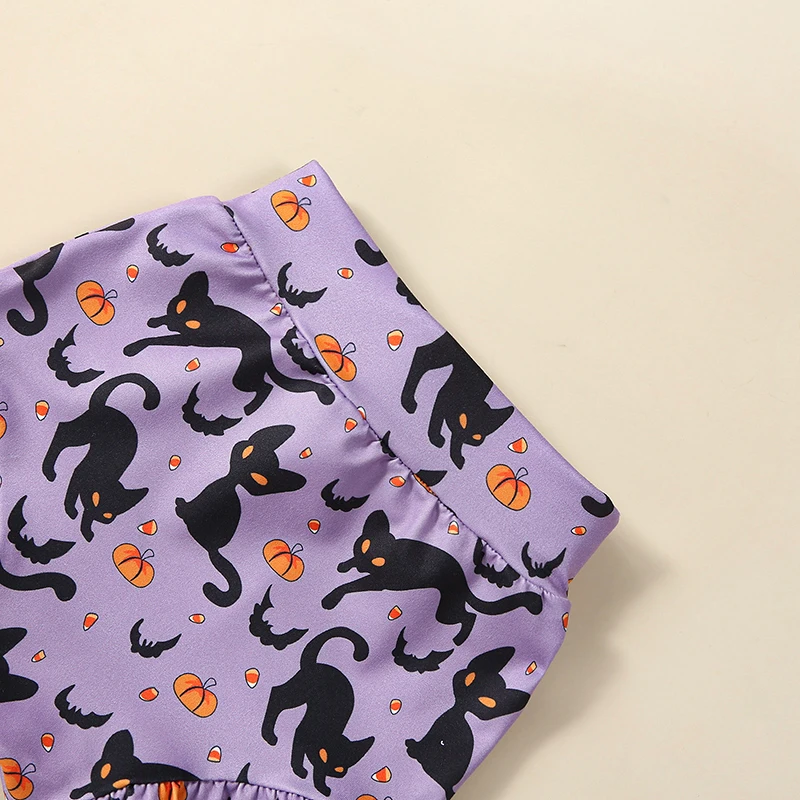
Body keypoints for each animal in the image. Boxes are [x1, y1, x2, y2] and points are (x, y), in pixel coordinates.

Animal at [42, 373, 160, 542]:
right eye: (96, 498)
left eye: (109, 514)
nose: (100, 515)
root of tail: (107, 407)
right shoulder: (79, 473)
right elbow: (73, 494)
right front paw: (71, 510)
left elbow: (87, 514)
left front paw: (86, 531)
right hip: (83, 432)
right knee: (63, 431)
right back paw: (49, 470)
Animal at [123, 271, 334, 429]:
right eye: (180, 306)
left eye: (193, 323)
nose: (176, 323)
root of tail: (269, 354)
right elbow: (163, 324)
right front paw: (156, 321)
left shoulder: (188, 339)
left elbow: (159, 339)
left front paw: (134, 347)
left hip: (242, 376)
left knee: (265, 387)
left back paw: (249, 408)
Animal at [261, 627, 375, 797]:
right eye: (323, 755)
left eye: (339, 769)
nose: (326, 767)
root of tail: (318, 664)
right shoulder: (302, 733)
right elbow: (298, 752)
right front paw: (300, 770)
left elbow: (317, 772)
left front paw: (321, 787)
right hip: (299, 692)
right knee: (277, 694)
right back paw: (269, 734)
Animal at [321, 510, 543, 647]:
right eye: (363, 545)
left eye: (378, 561)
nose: (362, 564)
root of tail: (464, 582)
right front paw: (345, 565)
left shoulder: (378, 582)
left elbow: (350, 586)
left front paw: (331, 599)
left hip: (445, 611)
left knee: (469, 616)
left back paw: (459, 640)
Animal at [400, 331, 513, 469]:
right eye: (462, 420)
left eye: (476, 437)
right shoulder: (444, 396)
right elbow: (438, 419)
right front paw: (436, 438)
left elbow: (456, 441)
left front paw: (456, 457)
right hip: (448, 352)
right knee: (422, 355)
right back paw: (408, 402)